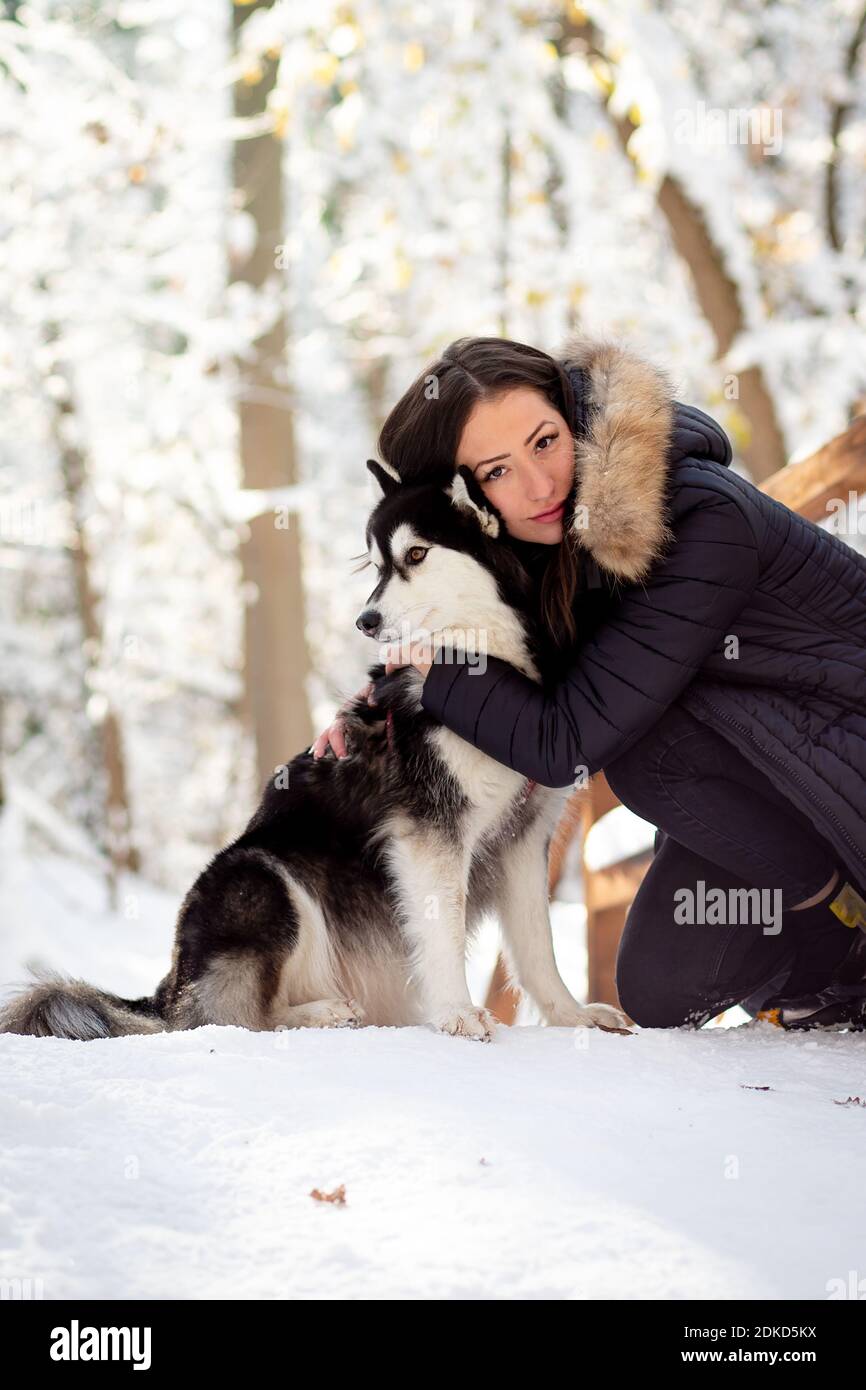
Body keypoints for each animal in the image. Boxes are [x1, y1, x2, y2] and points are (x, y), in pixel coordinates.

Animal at [1, 461, 636, 1039]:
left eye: (417, 555)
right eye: (378, 565)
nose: (365, 619)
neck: (492, 671)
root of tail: (167, 991)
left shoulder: (523, 839)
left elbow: (538, 944)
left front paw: (572, 1016)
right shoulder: (428, 833)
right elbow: (444, 932)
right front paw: (457, 1013)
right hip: (266, 876)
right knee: (233, 1018)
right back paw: (320, 1013)